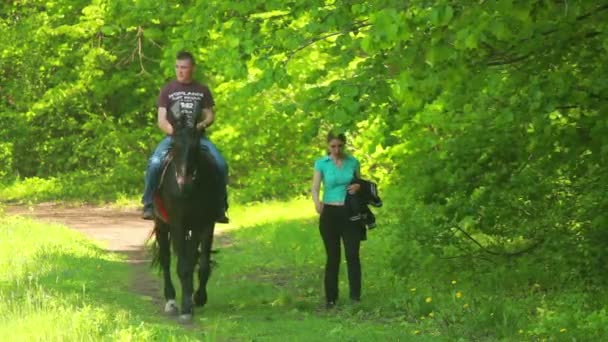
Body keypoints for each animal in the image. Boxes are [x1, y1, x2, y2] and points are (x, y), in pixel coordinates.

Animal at [150, 117, 221, 324]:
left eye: (196, 145)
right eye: (174, 143)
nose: (184, 184)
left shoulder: (204, 224)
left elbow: (200, 264)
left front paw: (198, 298)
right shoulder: (177, 225)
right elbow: (182, 266)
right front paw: (185, 309)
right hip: (161, 225)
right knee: (166, 260)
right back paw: (171, 301)